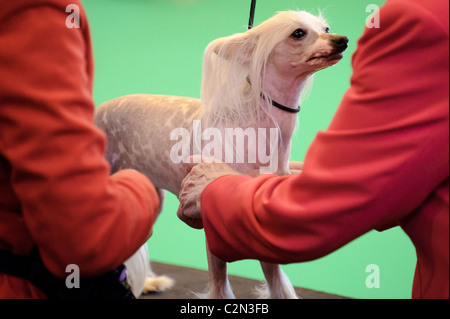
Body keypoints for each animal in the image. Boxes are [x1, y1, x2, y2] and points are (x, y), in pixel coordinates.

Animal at [94, 10, 348, 300]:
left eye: (325, 28)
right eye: (298, 33)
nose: (342, 39)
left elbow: (275, 277)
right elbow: (219, 280)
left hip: (149, 197)